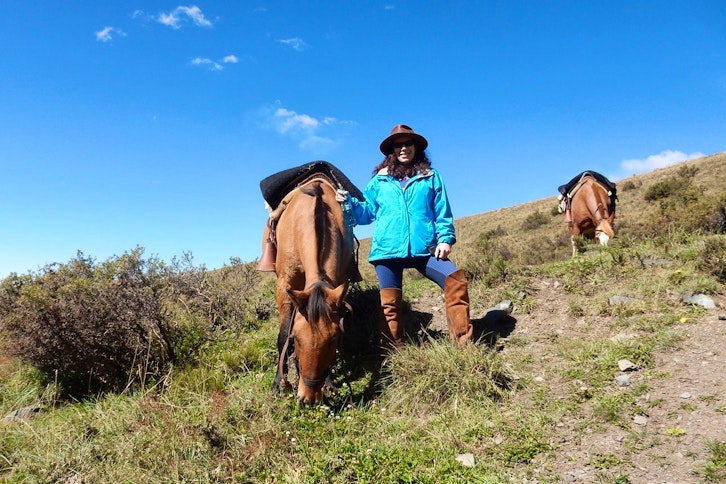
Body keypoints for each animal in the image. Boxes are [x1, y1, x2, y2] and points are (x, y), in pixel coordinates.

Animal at [271, 177, 353, 405]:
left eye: (333, 339)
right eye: (297, 339)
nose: (308, 397)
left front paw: (330, 382)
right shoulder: (284, 286)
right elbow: (282, 335)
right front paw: (279, 382)